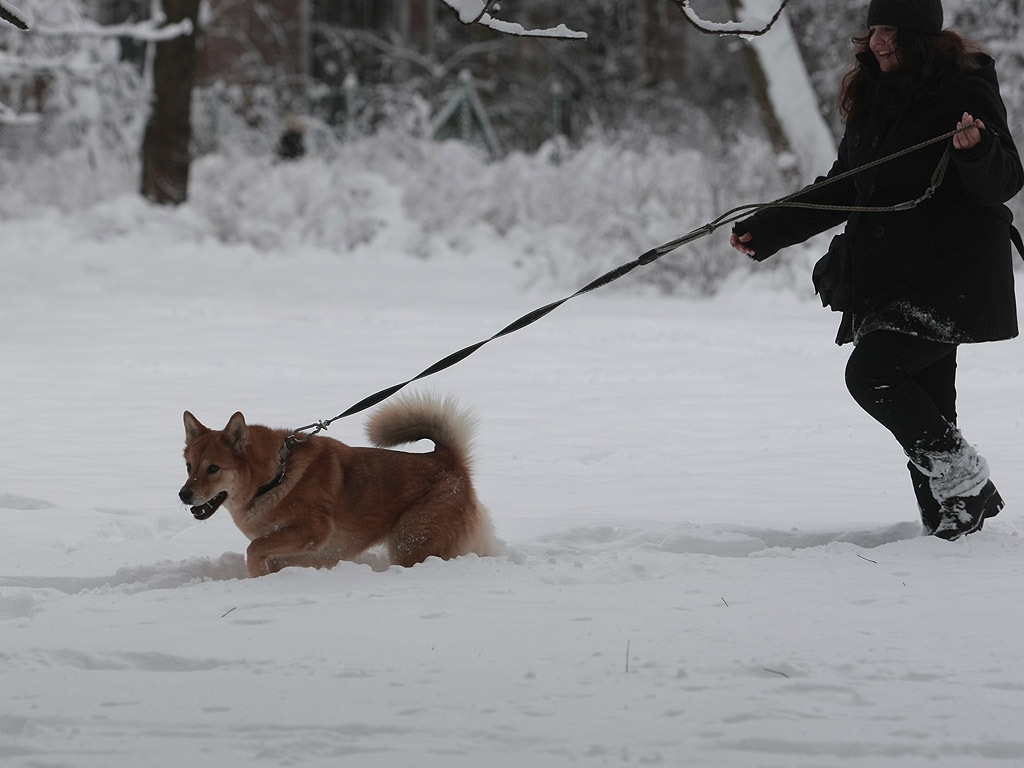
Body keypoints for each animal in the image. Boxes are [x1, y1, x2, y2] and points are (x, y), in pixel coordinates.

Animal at [178, 393, 497, 581]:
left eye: (213, 468)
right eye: (189, 466)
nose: (183, 494)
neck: (276, 476)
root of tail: (449, 461)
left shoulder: (313, 531)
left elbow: (255, 548)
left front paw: (258, 577)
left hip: (411, 542)